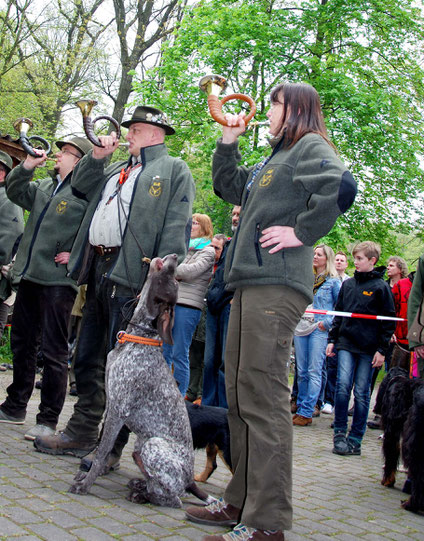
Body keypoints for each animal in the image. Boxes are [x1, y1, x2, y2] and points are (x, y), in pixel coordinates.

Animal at [70, 253, 212, 506]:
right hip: (140, 445)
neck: (140, 336)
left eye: (174, 280)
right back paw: (139, 486)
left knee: (173, 499)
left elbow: (102, 453)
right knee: (157, 485)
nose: (174, 256)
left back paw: (142, 494)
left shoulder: (119, 410)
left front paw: (85, 485)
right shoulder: (111, 403)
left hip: (153, 444)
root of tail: (190, 481)